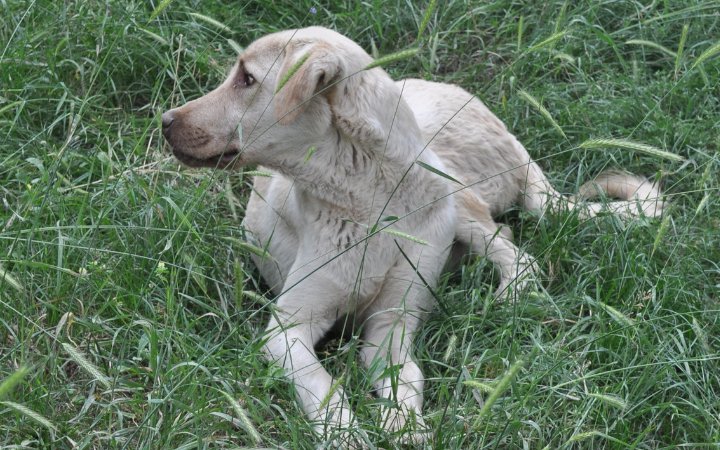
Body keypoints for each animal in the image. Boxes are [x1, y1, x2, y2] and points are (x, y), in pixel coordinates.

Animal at [163, 26, 664, 444]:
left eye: (247, 79)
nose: (165, 121)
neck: (368, 207)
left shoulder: (391, 326)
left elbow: (407, 381)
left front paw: (403, 425)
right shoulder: (288, 329)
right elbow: (325, 387)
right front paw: (346, 434)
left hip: (454, 198)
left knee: (514, 251)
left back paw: (508, 298)